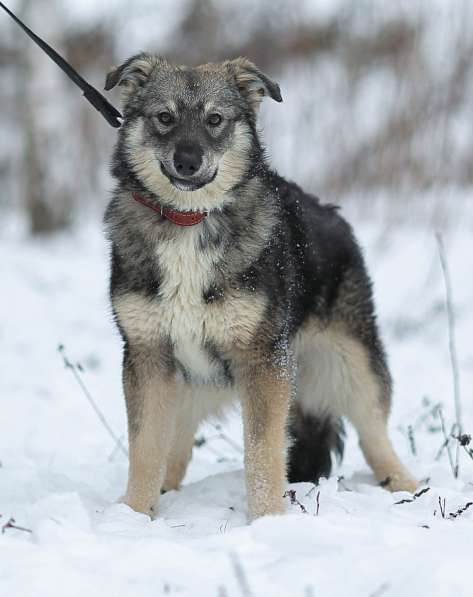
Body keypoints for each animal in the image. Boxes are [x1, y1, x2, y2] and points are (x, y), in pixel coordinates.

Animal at [104, 54, 416, 520]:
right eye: (165, 118)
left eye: (215, 119)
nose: (187, 161)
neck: (189, 223)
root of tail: (334, 215)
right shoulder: (147, 356)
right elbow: (145, 450)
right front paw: (134, 517)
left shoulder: (264, 362)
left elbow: (263, 451)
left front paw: (267, 519)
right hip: (190, 384)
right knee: (175, 449)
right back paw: (166, 492)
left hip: (353, 365)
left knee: (374, 432)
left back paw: (405, 486)